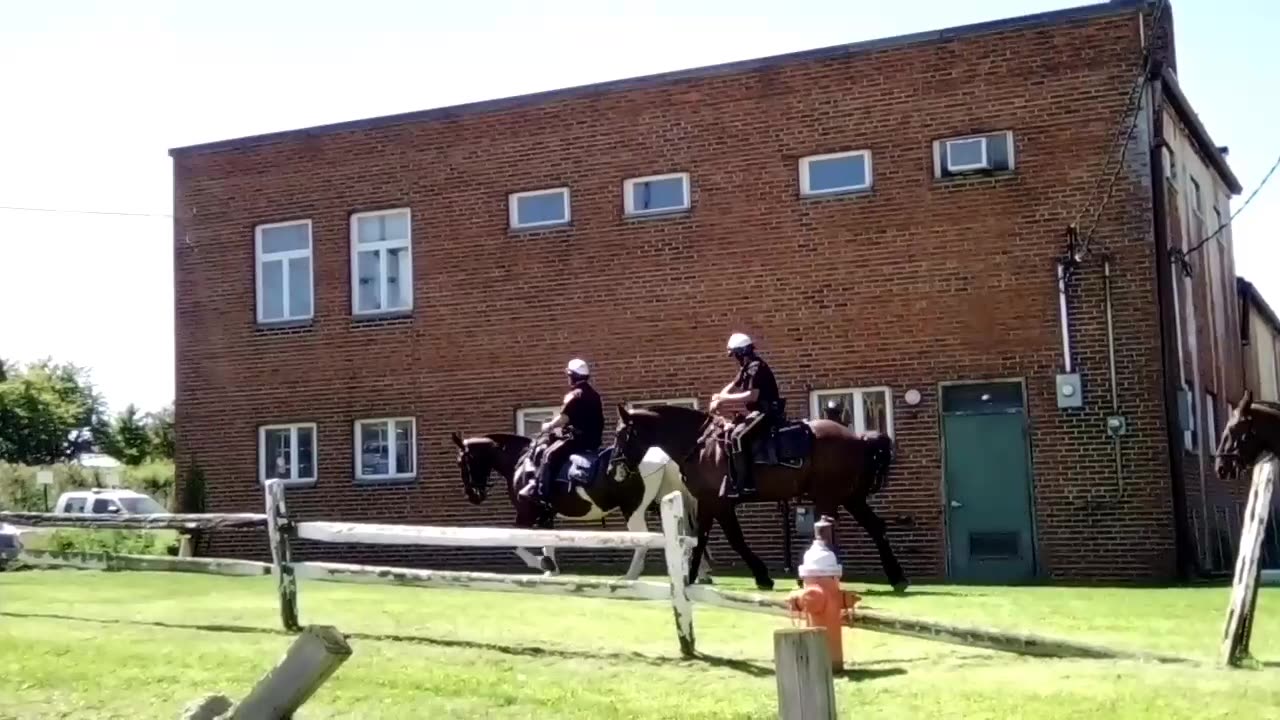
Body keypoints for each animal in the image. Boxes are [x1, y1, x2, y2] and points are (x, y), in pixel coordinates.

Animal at [604, 399, 906, 591]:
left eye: (621, 434)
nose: (612, 469)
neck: (700, 444)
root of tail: (857, 439)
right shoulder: (713, 504)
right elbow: (711, 537)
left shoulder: (715, 502)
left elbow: (726, 538)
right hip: (850, 498)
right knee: (876, 528)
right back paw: (897, 576)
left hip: (828, 498)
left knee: (832, 531)